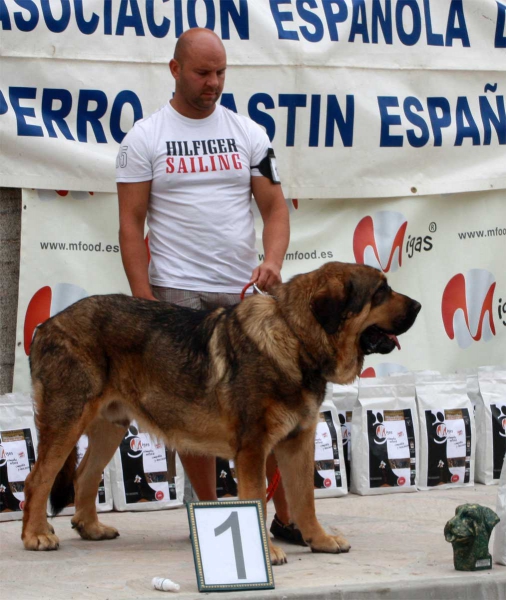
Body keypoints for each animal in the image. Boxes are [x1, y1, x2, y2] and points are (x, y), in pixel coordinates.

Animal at [21, 262, 422, 564]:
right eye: (381, 292)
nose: (418, 306)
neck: (294, 336)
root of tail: (45, 326)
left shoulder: (297, 441)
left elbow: (304, 499)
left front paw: (319, 539)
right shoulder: (253, 448)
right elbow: (258, 499)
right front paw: (267, 552)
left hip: (110, 426)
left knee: (83, 476)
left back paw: (90, 528)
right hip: (67, 421)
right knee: (37, 479)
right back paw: (36, 535)